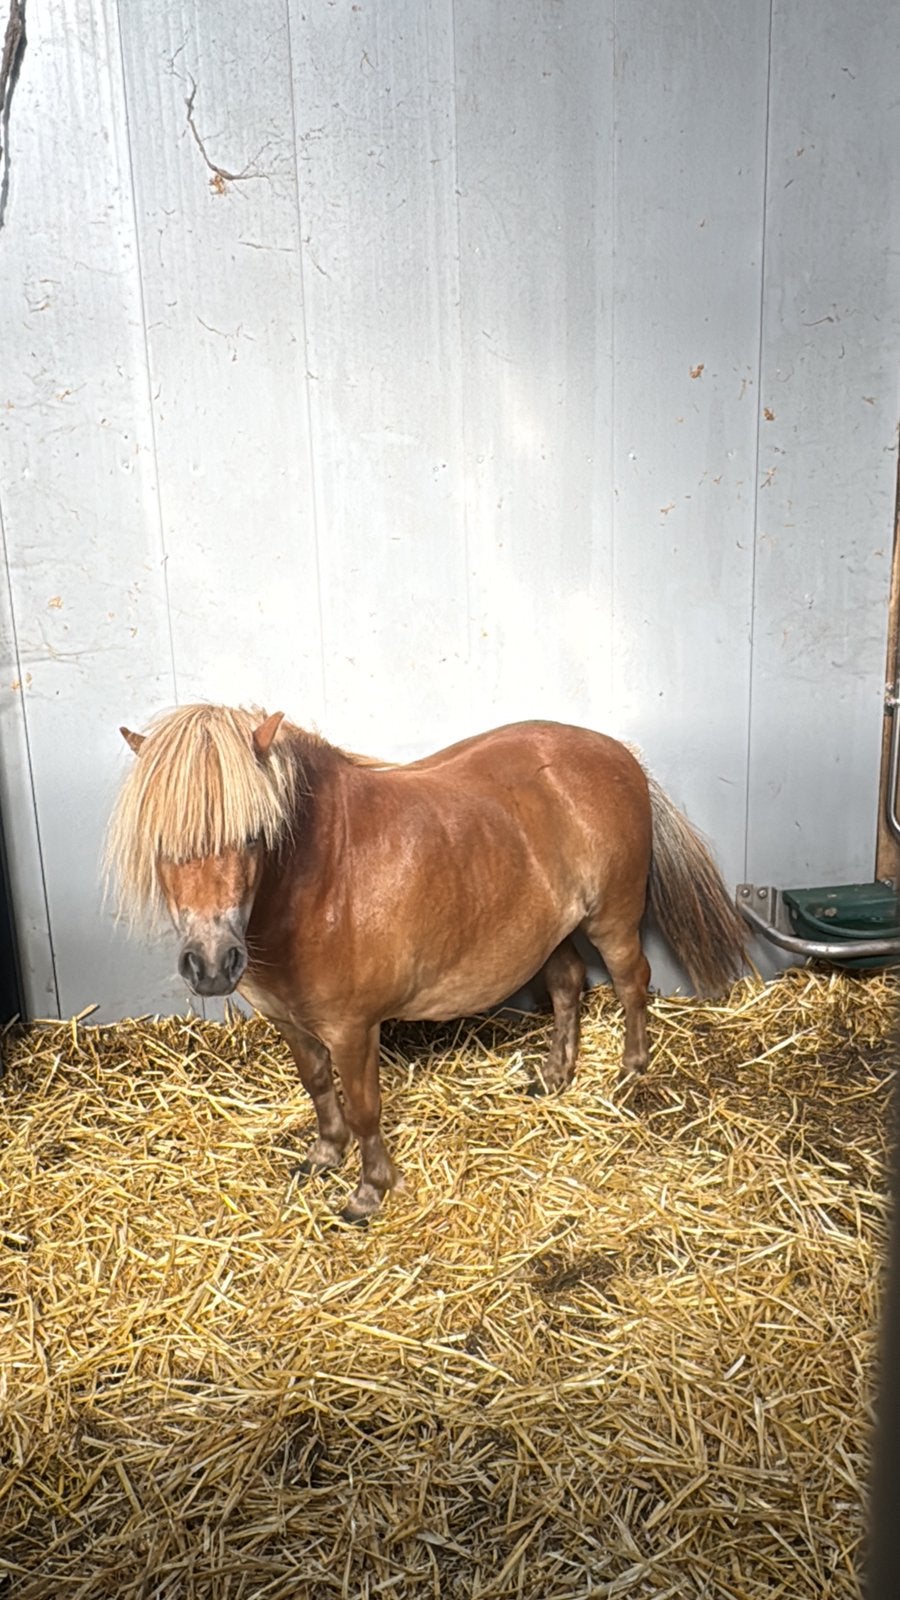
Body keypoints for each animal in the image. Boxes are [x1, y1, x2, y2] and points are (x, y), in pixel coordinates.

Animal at [106, 704, 747, 1222]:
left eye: (255, 834)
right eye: (160, 843)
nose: (213, 964)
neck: (323, 878)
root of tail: (619, 753)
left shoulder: (352, 1030)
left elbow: (365, 1109)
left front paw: (369, 1191)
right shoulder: (290, 1022)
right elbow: (318, 1087)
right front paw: (323, 1156)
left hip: (611, 919)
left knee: (632, 983)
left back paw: (630, 1072)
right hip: (549, 928)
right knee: (568, 986)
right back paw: (553, 1077)